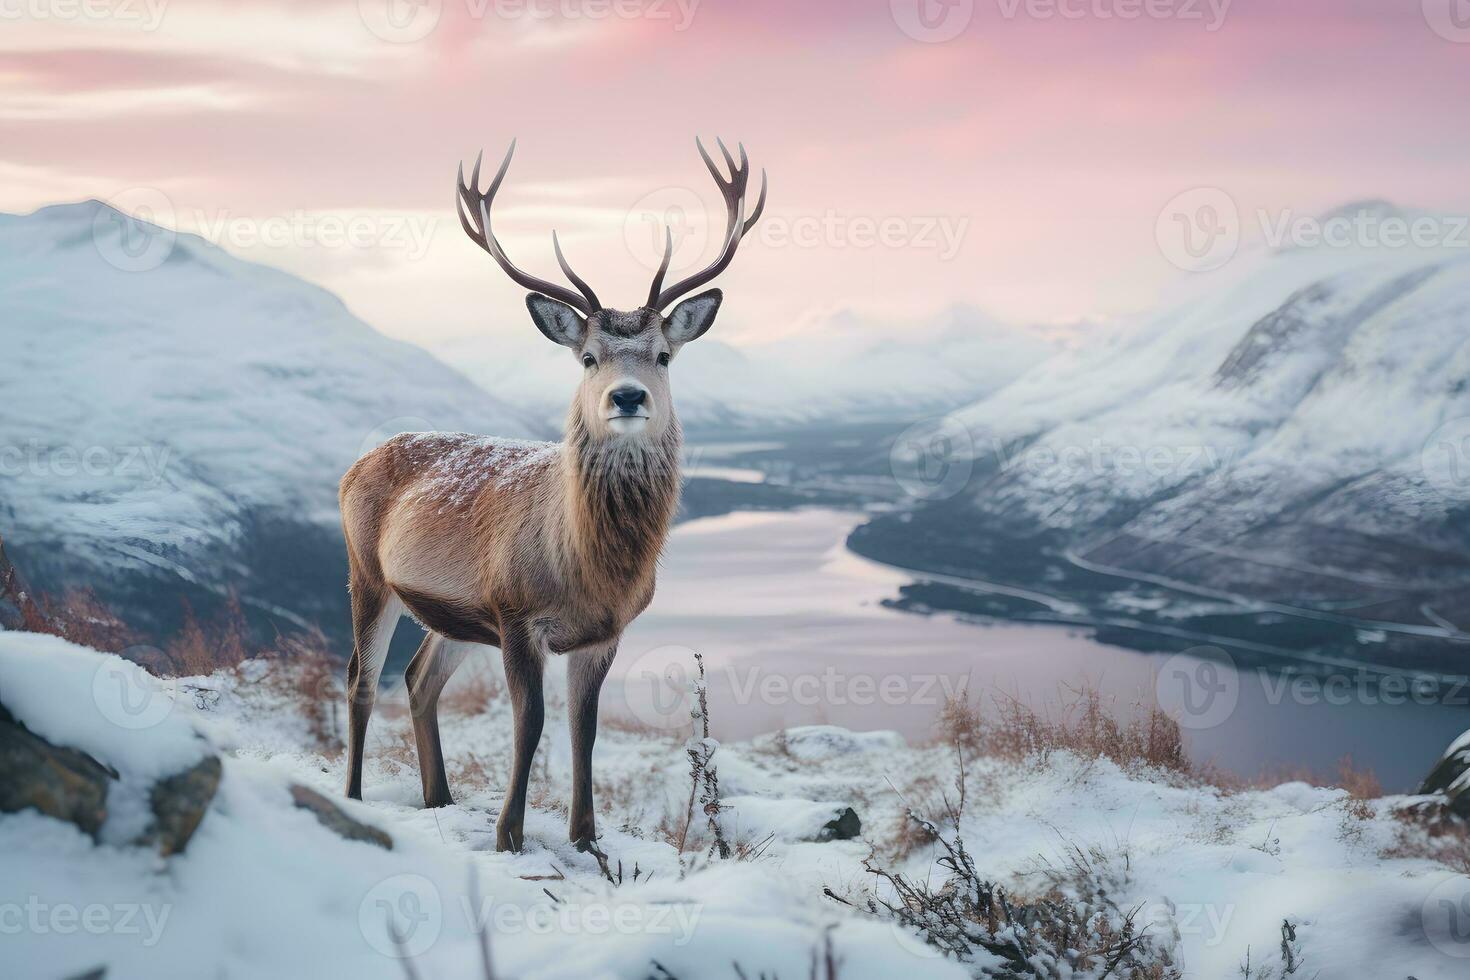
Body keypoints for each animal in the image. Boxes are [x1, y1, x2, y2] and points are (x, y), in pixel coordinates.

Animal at [335, 135, 770, 852]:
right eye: (589, 356)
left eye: (664, 354)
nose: (628, 396)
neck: (588, 568)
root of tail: (356, 463)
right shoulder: (516, 613)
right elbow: (531, 724)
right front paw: (509, 835)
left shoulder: (604, 631)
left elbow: (583, 731)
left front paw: (586, 837)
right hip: (366, 572)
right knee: (360, 679)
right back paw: (352, 795)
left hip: (451, 614)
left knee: (419, 679)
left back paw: (439, 796)